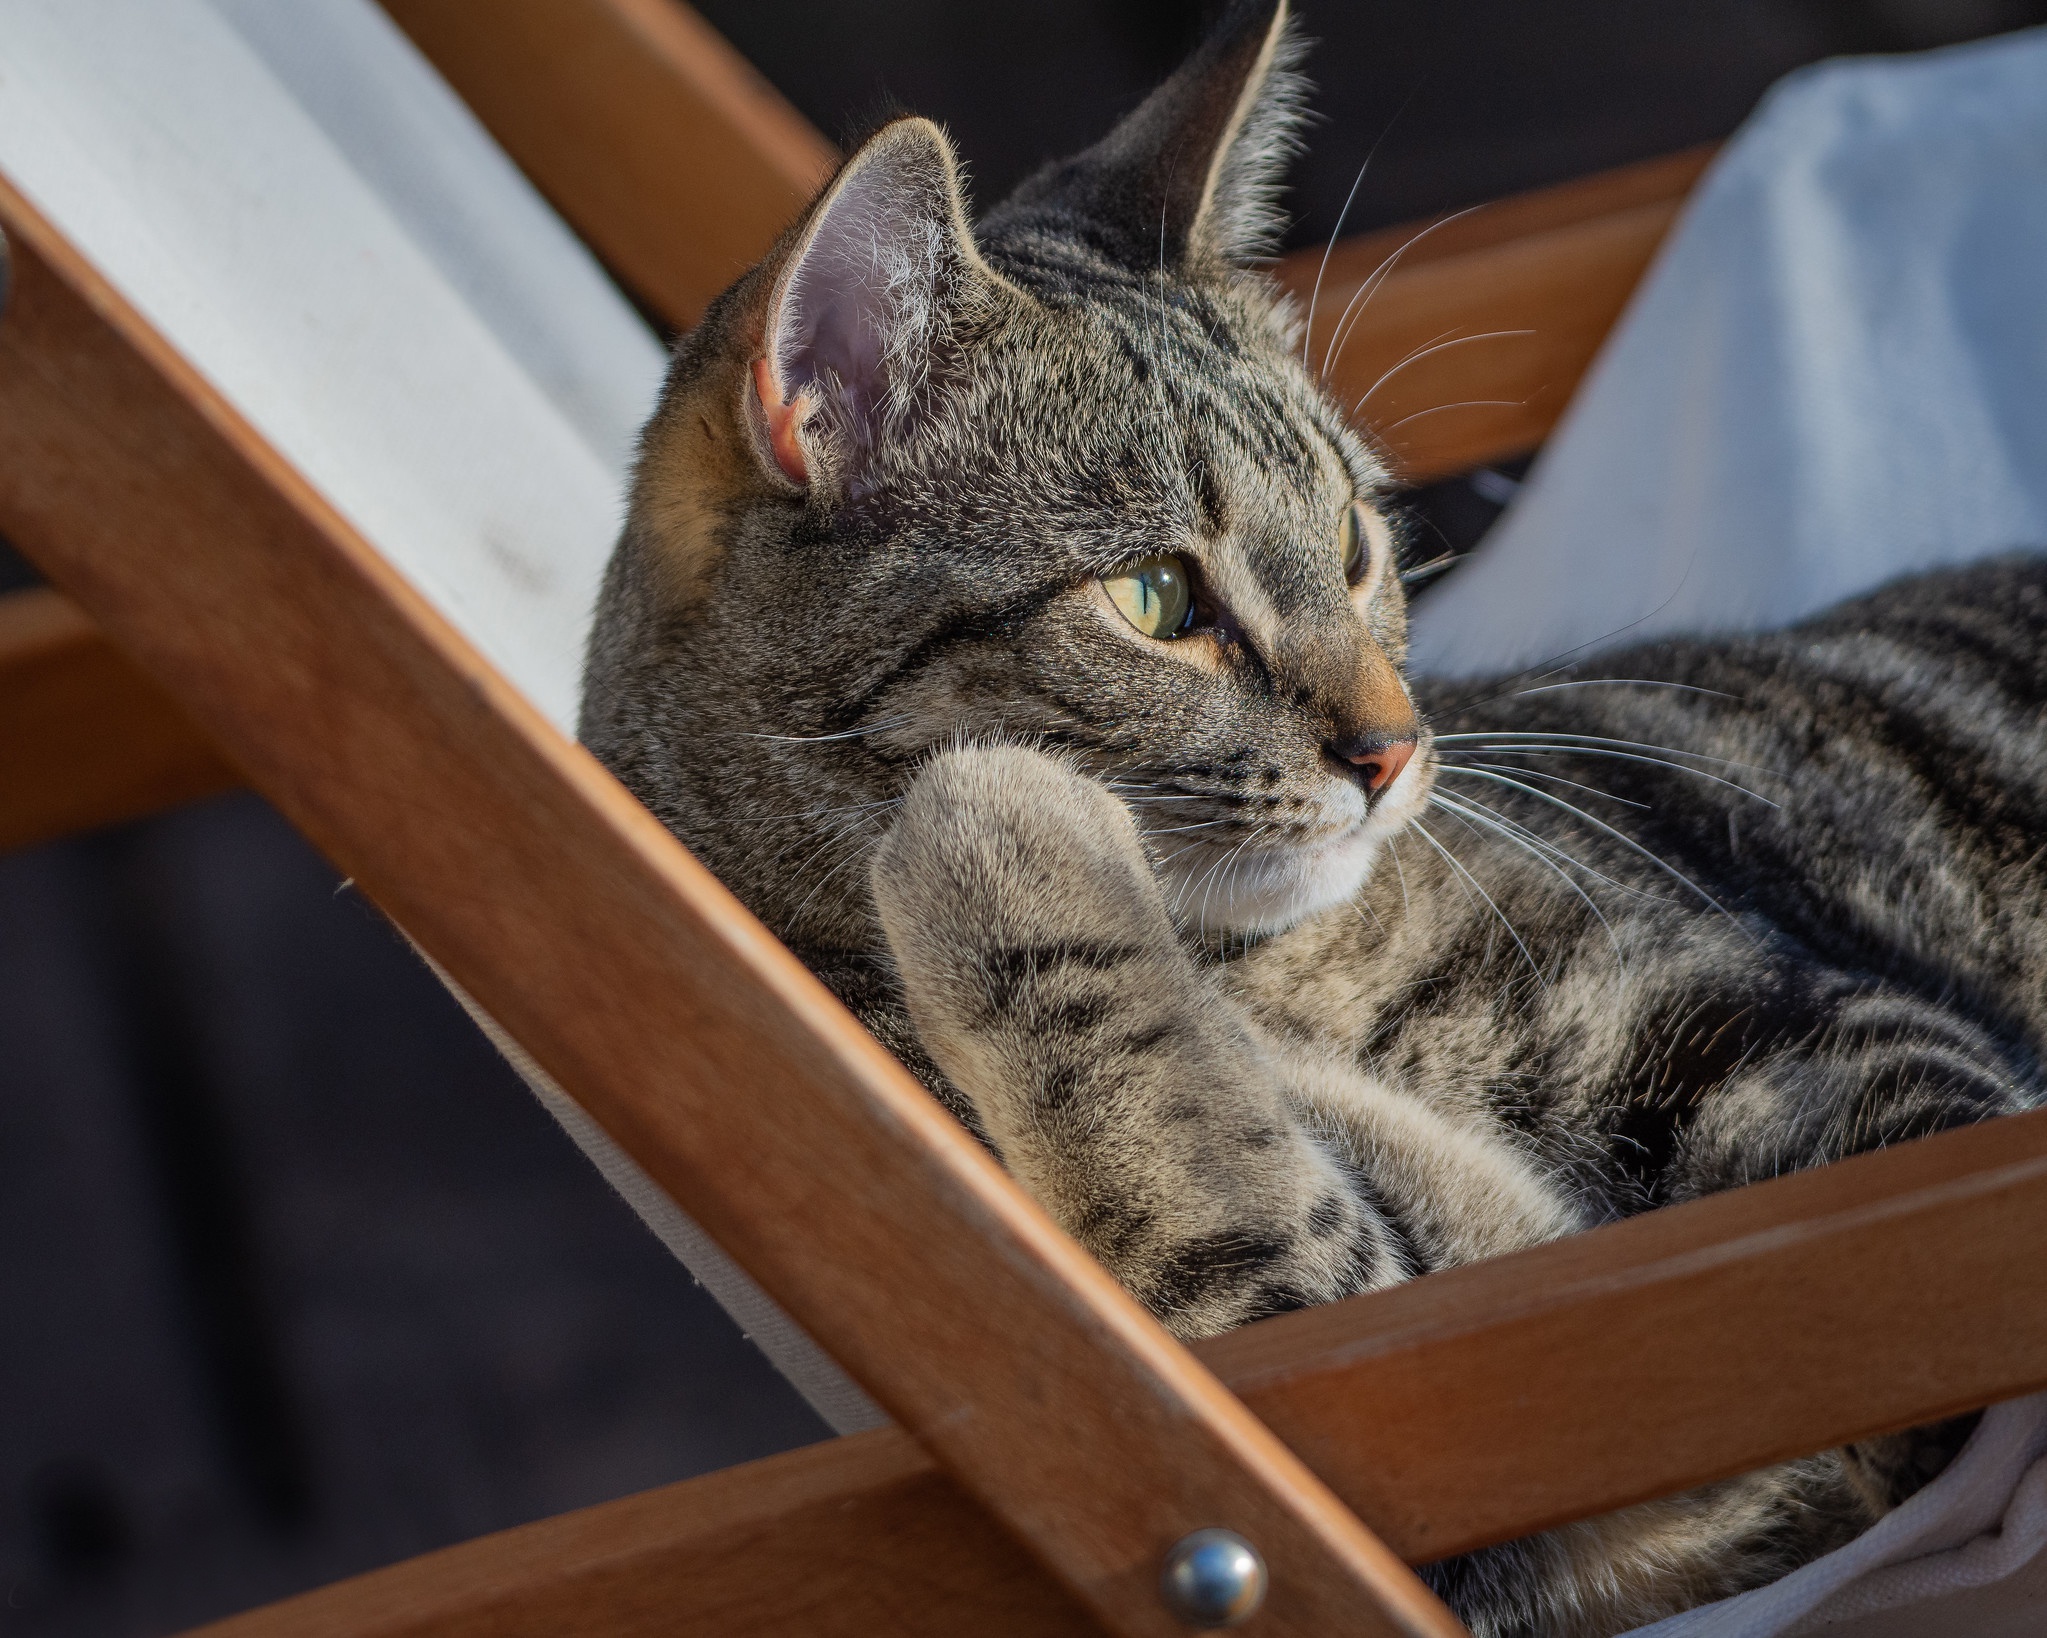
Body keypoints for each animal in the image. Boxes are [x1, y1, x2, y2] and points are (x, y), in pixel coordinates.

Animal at [573, 6, 2030, 1629]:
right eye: (1156, 598)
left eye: (1351, 542)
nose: (1394, 750)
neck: (1280, 978)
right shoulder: (1384, 1373)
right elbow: (1208, 1175)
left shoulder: (1815, 1054)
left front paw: (995, 829)